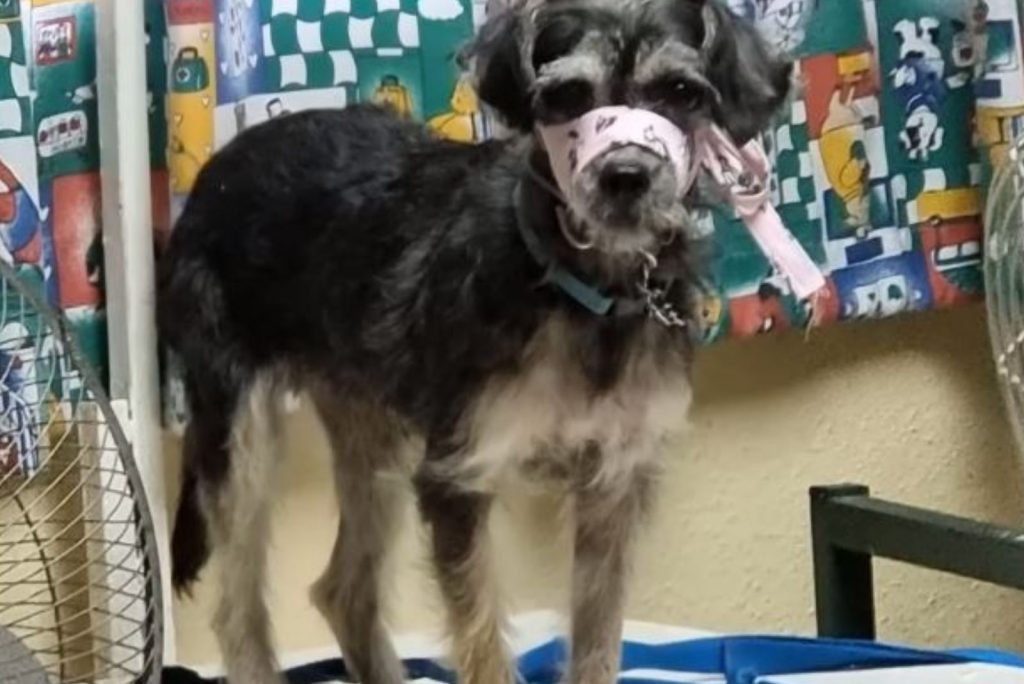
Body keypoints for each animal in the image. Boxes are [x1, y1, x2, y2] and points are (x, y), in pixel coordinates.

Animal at [159, 1, 790, 684]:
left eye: (681, 92)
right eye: (566, 96)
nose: (625, 177)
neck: (576, 289)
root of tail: (218, 168)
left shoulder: (613, 486)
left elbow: (598, 642)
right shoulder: (458, 478)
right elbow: (483, 641)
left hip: (370, 433)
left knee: (344, 590)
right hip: (240, 437)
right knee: (238, 614)